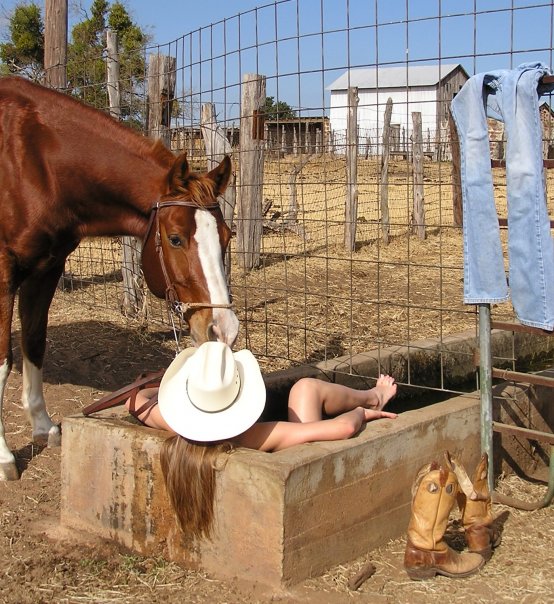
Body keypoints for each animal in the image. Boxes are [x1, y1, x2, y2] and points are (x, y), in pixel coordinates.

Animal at [0, 76, 237, 482]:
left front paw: (44, 427)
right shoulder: (3, 273)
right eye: (175, 238)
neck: (32, 159)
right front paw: (2, 457)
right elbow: (2, 361)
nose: (223, 328)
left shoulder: (46, 269)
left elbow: (34, 343)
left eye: (225, 237)